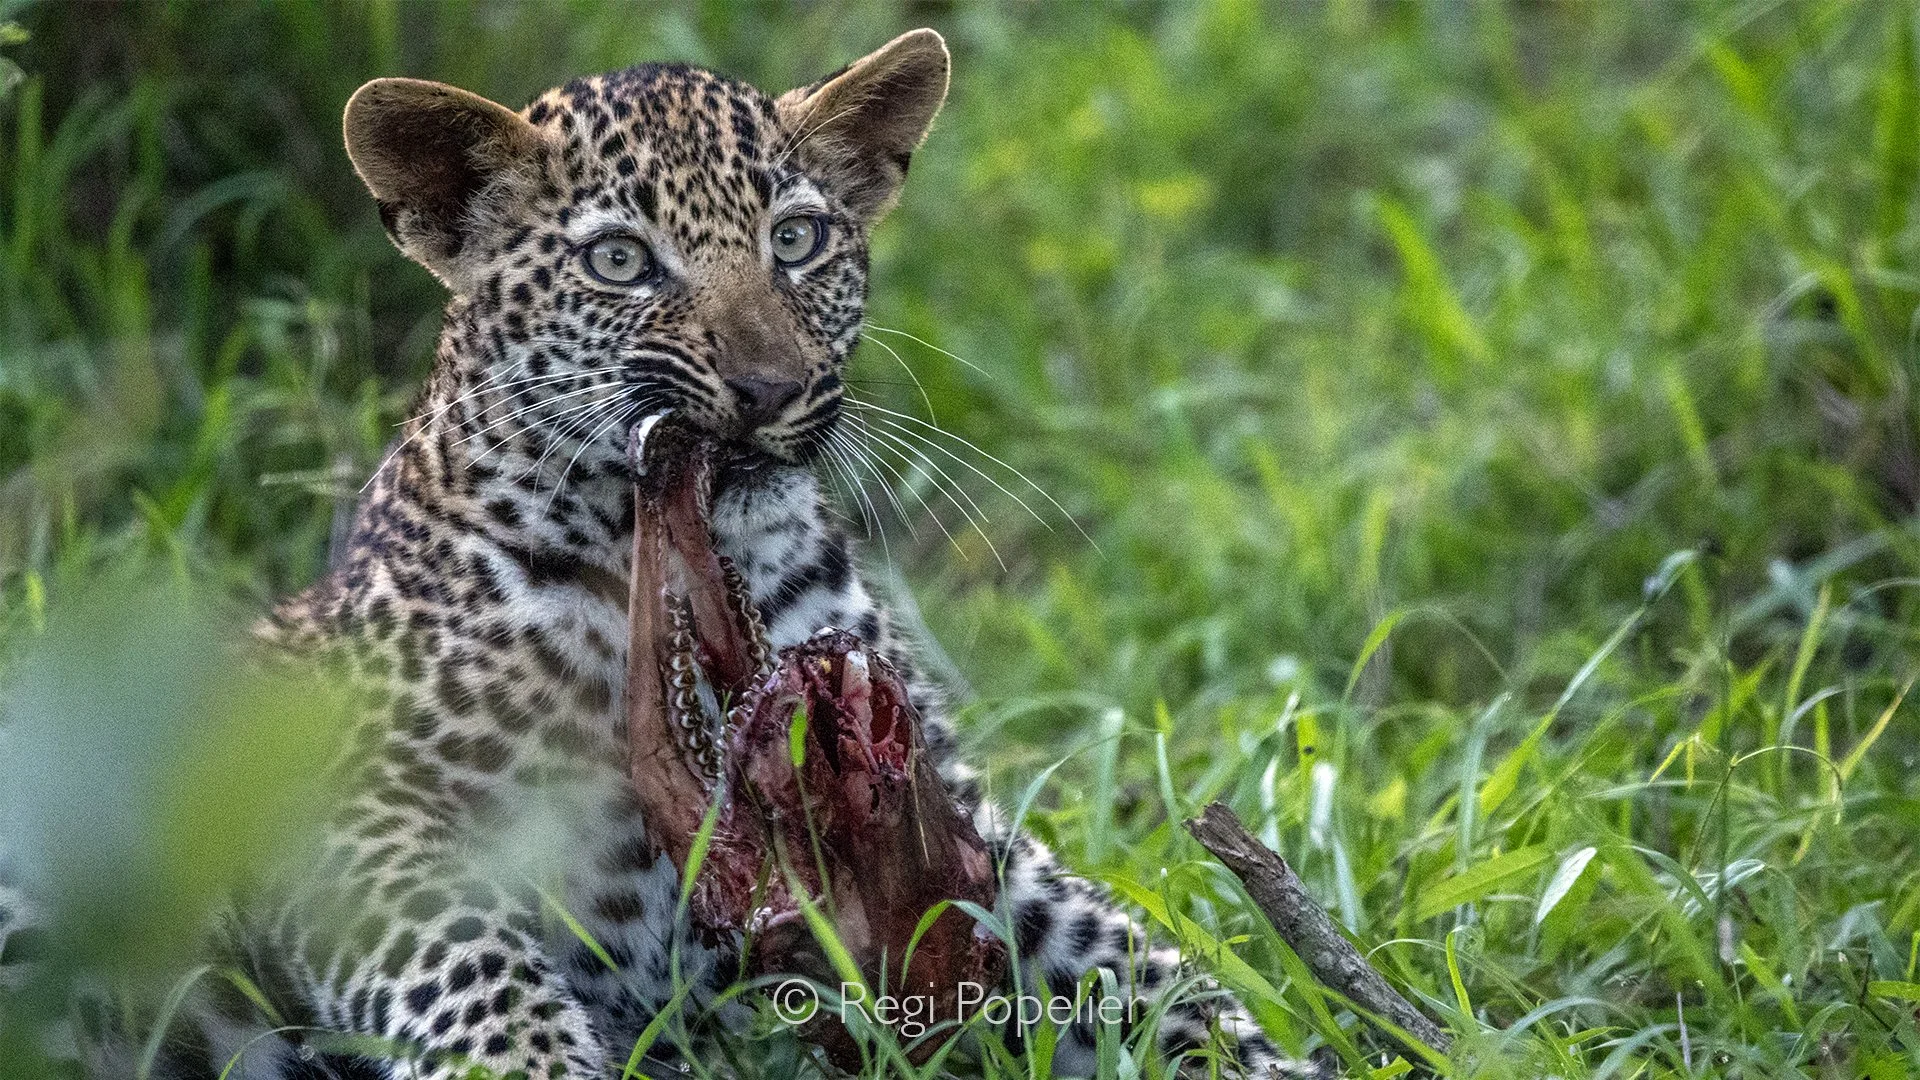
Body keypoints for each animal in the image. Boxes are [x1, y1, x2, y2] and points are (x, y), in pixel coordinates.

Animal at [1, 30, 1312, 1080]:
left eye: (797, 240)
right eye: (621, 261)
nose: (771, 387)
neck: (670, 553)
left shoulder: (942, 819)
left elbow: (1139, 963)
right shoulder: (336, 816)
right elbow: (474, 968)